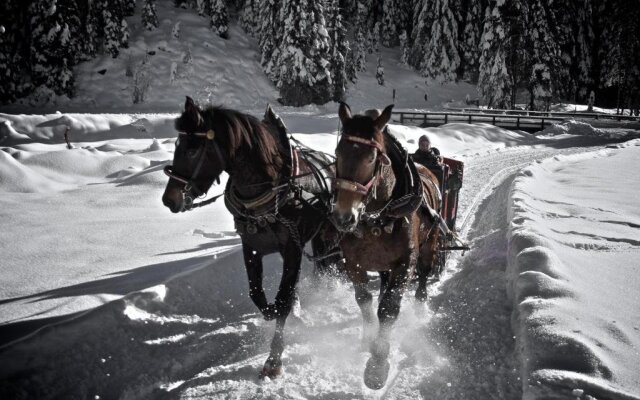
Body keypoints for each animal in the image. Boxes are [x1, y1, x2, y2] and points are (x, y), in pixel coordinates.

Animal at [162, 97, 336, 378]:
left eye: (192, 150)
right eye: (177, 145)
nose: (169, 200)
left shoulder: (293, 247)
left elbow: (283, 299)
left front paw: (274, 359)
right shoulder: (251, 246)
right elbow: (259, 295)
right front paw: (277, 312)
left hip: (328, 235)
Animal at [330, 101, 440, 390]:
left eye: (371, 158)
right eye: (337, 152)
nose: (343, 217)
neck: (377, 217)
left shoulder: (405, 263)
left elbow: (389, 309)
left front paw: (378, 364)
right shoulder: (353, 261)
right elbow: (364, 300)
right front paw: (368, 339)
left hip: (430, 245)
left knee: (423, 277)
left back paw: (420, 307)